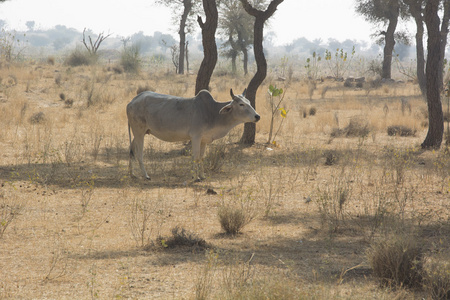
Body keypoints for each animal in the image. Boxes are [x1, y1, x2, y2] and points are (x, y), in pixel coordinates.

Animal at [126, 88, 260, 179]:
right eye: (241, 104)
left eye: (249, 102)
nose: (257, 116)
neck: (212, 112)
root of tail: (131, 102)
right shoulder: (196, 137)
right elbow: (195, 157)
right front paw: (195, 177)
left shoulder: (204, 140)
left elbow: (201, 157)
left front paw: (202, 175)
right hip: (139, 132)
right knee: (139, 154)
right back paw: (146, 175)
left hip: (139, 133)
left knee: (131, 150)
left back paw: (132, 174)